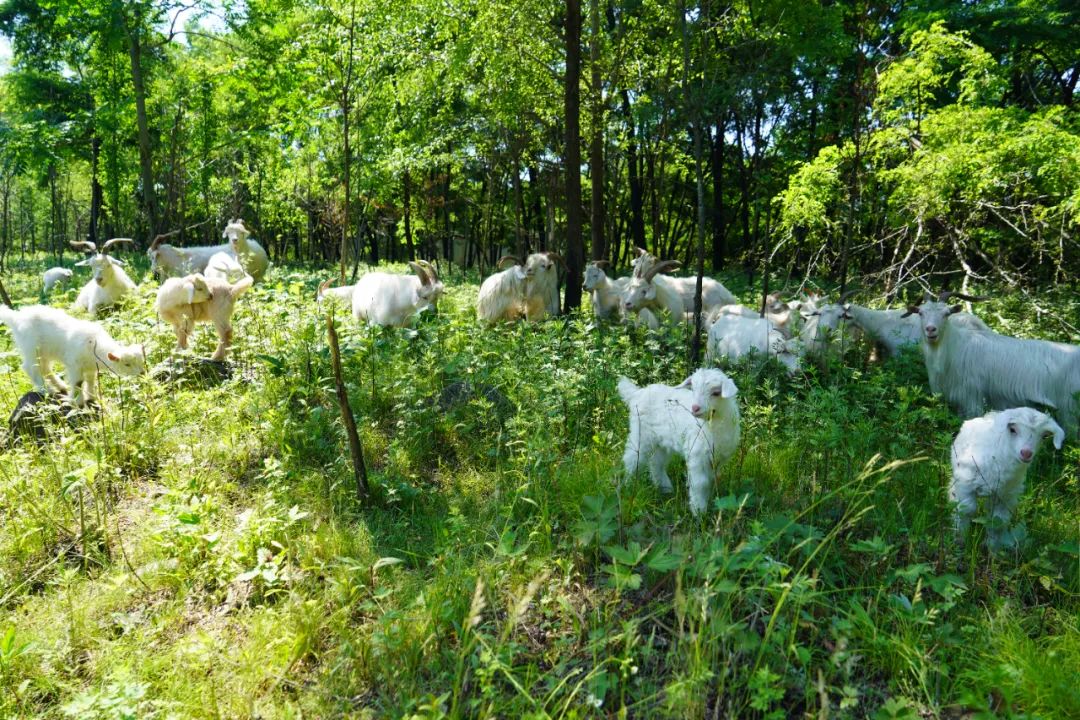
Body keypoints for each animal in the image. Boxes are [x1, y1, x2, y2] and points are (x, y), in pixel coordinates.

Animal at [0, 302, 144, 408]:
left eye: (141, 361)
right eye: (127, 364)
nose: (142, 373)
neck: (94, 343)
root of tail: (16, 318)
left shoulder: (91, 367)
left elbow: (90, 381)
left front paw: (91, 398)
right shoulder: (74, 365)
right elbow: (78, 383)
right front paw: (76, 402)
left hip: (45, 353)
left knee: (45, 368)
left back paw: (60, 386)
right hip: (30, 348)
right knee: (30, 368)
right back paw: (46, 390)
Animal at [617, 369, 743, 515]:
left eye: (716, 393)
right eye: (693, 389)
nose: (695, 408)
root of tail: (637, 393)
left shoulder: (717, 459)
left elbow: (712, 480)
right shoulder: (697, 455)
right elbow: (700, 483)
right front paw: (699, 511)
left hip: (661, 441)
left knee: (656, 463)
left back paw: (665, 488)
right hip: (641, 434)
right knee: (632, 459)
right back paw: (629, 485)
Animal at [907, 291, 1075, 436]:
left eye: (946, 314)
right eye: (921, 313)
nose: (931, 330)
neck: (956, 346)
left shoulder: (972, 396)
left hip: (1068, 408)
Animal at [954, 408, 1062, 548]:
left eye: (1044, 436)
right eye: (1012, 429)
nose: (1026, 453)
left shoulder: (1005, 496)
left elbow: (998, 521)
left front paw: (992, 547)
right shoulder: (965, 482)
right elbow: (966, 510)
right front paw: (961, 540)